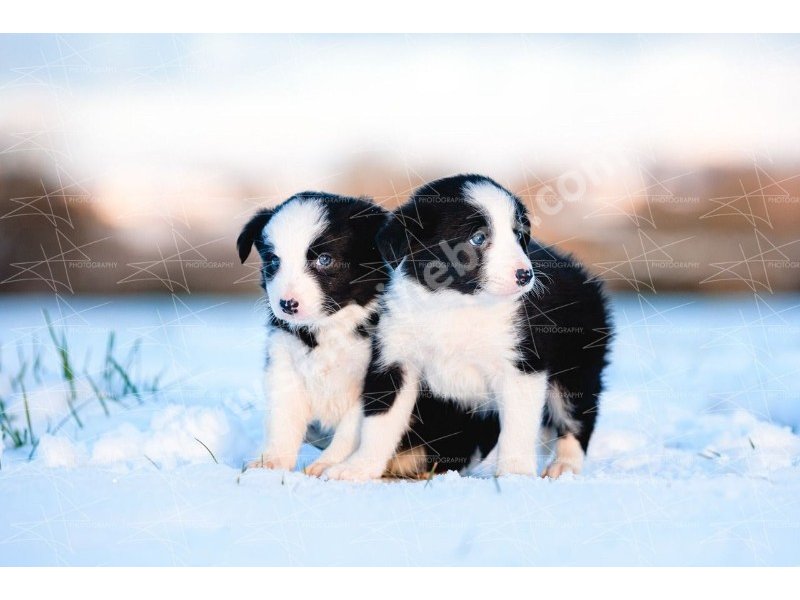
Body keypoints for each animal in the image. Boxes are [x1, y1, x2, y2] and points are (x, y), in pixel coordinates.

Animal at [324, 175, 612, 482]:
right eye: (478, 238)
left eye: (518, 234)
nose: (525, 275)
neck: (457, 306)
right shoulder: (396, 360)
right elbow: (380, 421)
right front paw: (358, 467)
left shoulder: (521, 365)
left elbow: (518, 430)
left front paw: (515, 476)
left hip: (576, 366)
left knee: (576, 416)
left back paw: (565, 466)